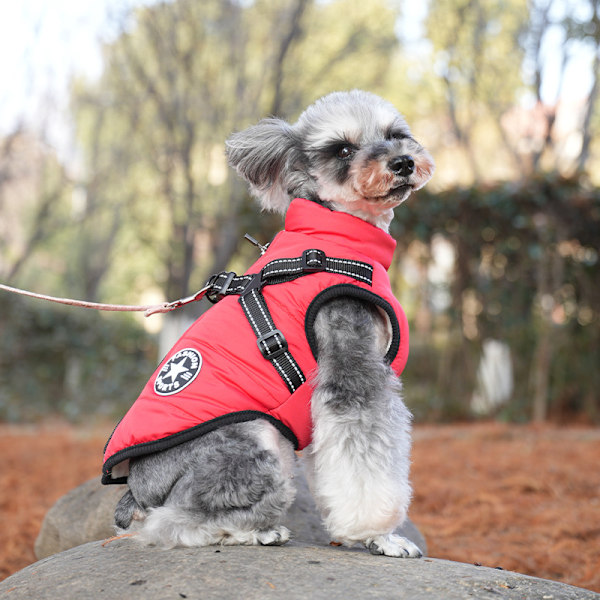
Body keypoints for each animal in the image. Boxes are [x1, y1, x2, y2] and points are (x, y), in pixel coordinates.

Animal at [108, 90, 434, 556]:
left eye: (396, 135)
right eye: (343, 150)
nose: (403, 162)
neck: (333, 236)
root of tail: (137, 487)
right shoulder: (353, 371)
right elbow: (367, 462)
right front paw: (381, 536)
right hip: (255, 436)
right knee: (175, 521)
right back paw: (257, 531)